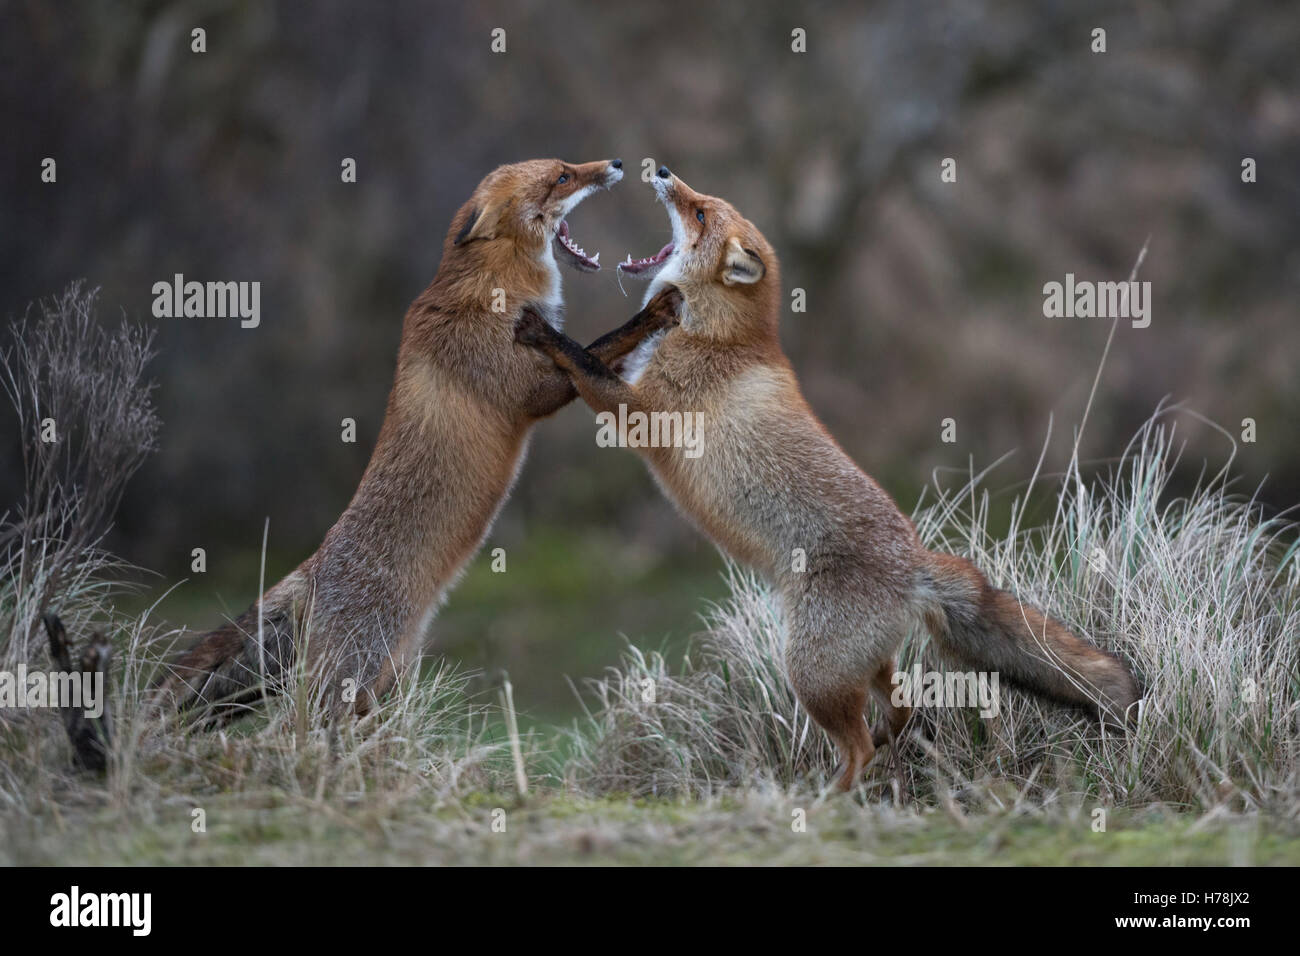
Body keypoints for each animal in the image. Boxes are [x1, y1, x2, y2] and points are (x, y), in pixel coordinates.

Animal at [157, 158, 681, 717]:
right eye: (562, 177)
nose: (616, 164)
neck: (495, 285)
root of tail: (313, 571)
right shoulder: (528, 388)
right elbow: (594, 345)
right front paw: (651, 313)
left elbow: (602, 358)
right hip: (352, 678)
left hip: (386, 680)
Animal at [512, 166, 1144, 790]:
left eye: (700, 213)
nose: (661, 170)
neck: (723, 337)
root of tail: (915, 566)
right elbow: (604, 348)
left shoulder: (644, 412)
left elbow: (582, 360)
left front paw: (544, 333)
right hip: (861, 666)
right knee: (901, 708)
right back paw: (884, 750)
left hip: (810, 670)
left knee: (859, 745)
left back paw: (827, 798)